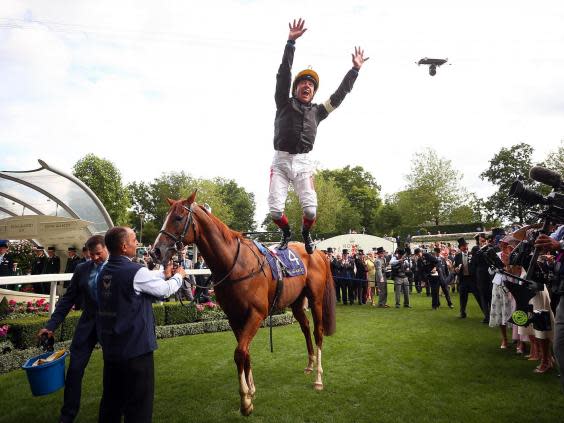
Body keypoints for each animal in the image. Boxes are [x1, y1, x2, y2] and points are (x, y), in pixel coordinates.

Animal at [150, 193, 334, 418]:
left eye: (177, 218)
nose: (156, 251)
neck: (234, 265)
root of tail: (317, 252)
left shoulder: (256, 314)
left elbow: (239, 353)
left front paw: (245, 401)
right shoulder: (234, 317)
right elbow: (245, 352)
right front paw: (251, 390)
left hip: (315, 300)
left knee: (318, 332)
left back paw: (318, 378)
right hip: (297, 302)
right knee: (305, 328)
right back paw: (309, 365)